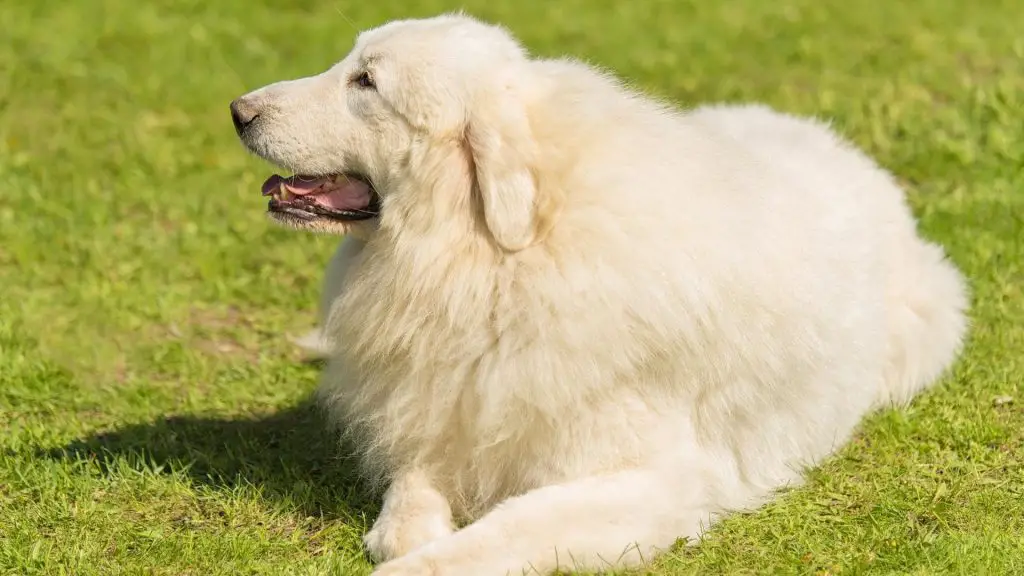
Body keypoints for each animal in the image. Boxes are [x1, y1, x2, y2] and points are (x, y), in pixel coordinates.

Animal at [230, 14, 966, 573]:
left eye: (366, 81)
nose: (238, 110)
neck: (497, 263)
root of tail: (843, 147)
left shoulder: (649, 481)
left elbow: (506, 528)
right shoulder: (445, 412)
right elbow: (410, 494)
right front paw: (406, 531)